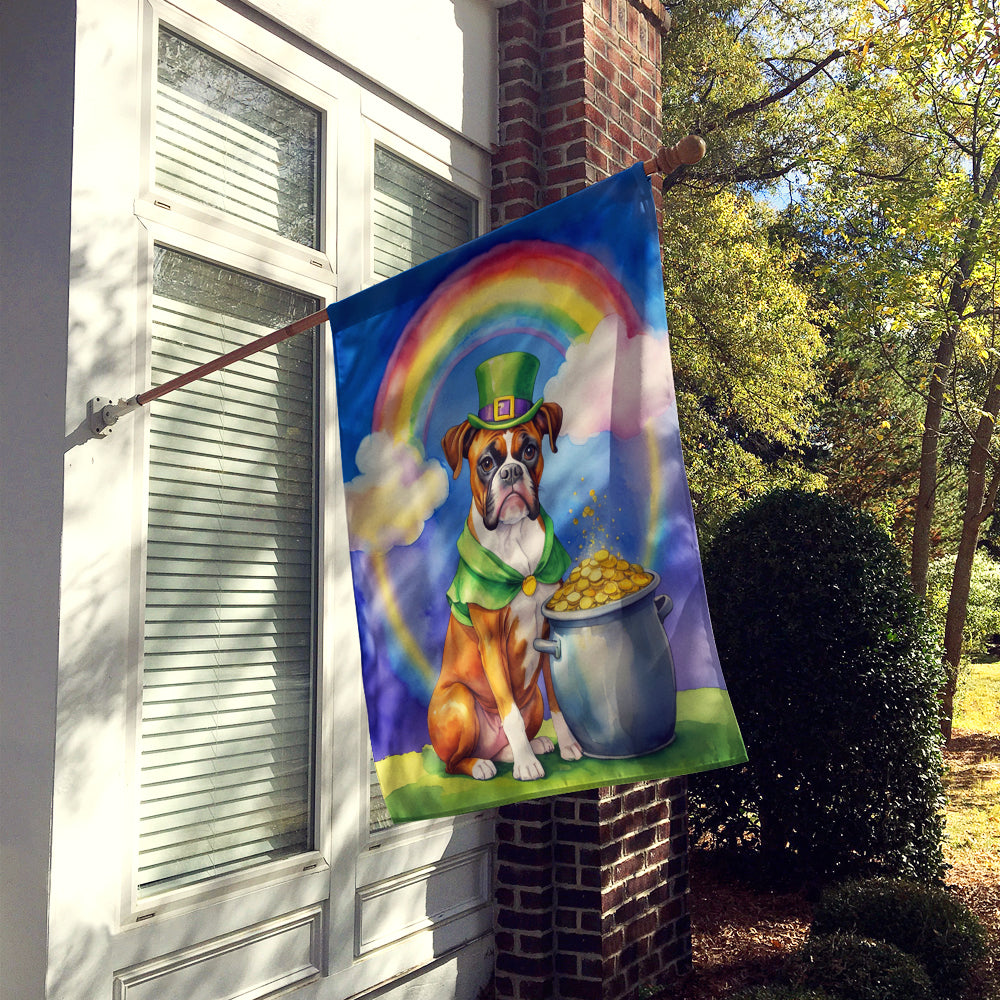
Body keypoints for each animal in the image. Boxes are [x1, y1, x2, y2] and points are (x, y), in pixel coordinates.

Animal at [426, 352, 584, 780]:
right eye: (486, 462)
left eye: (529, 451)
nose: (511, 472)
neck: (514, 540)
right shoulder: (492, 642)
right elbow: (507, 709)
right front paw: (529, 768)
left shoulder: (549, 632)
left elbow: (558, 700)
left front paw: (568, 744)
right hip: (461, 701)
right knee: (454, 762)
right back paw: (486, 763)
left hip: (532, 700)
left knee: (511, 739)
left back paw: (530, 747)